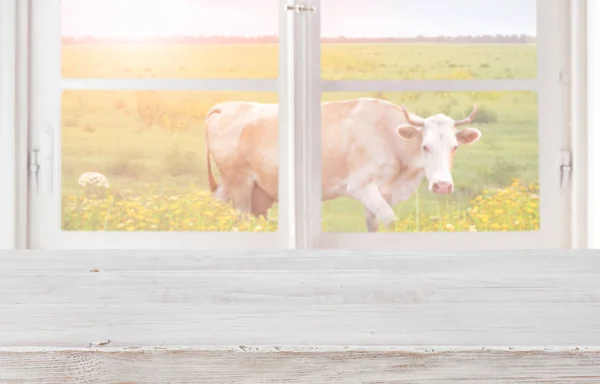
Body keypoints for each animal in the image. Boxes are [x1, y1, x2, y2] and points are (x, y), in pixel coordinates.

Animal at [204, 98, 480, 231]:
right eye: (426, 146)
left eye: (454, 147)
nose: (442, 186)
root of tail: (226, 107)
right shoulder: (361, 186)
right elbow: (391, 221)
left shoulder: (381, 194)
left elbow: (375, 225)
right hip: (240, 185)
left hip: (239, 188)